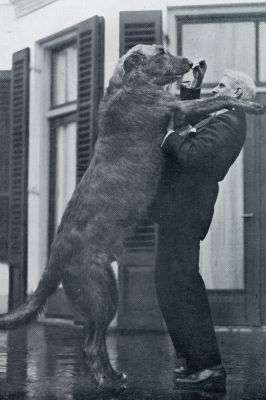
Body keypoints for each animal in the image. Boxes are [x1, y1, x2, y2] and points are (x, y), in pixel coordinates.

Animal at [0, 43, 264, 390]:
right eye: (161, 51)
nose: (190, 62)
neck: (129, 82)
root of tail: (54, 258)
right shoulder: (178, 109)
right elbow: (218, 101)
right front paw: (250, 104)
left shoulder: (180, 108)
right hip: (100, 292)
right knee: (90, 344)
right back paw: (109, 383)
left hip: (106, 292)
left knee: (95, 342)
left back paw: (114, 376)